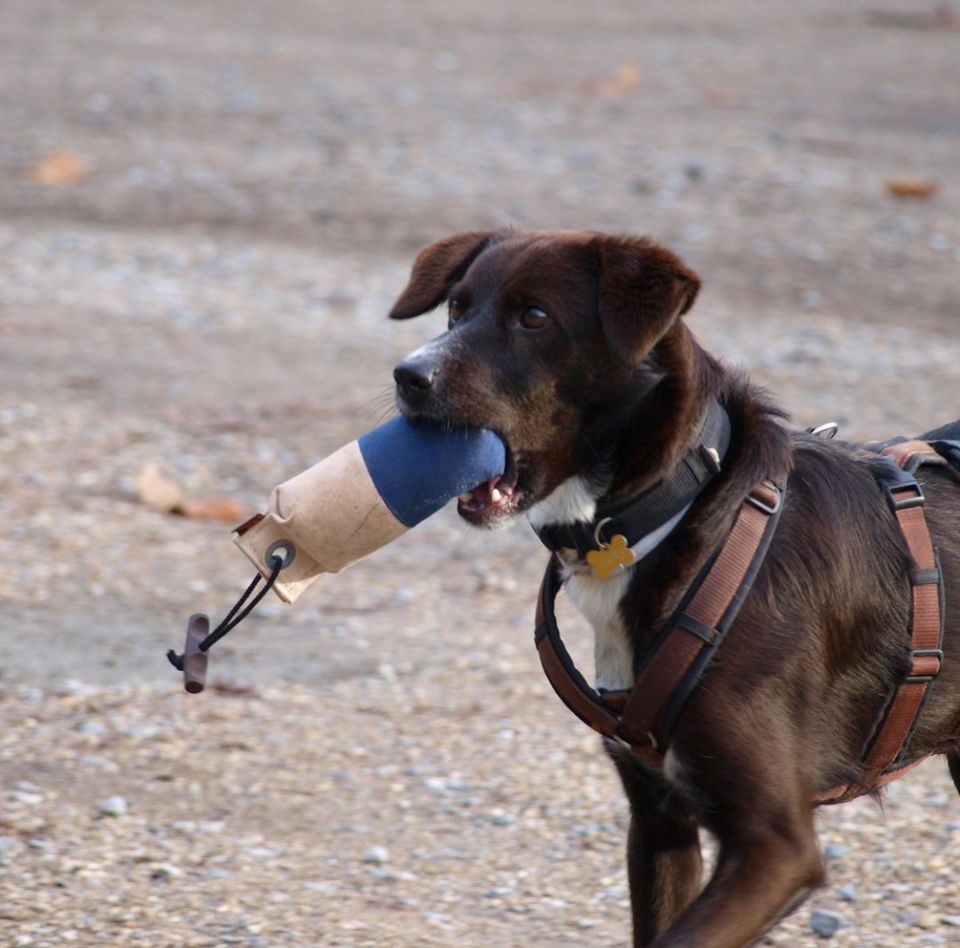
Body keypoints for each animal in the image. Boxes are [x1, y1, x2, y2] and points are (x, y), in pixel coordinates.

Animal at [386, 231, 956, 948]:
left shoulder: (775, 847)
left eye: (534, 317)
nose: (407, 376)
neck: (679, 513)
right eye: (456, 308)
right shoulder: (660, 820)